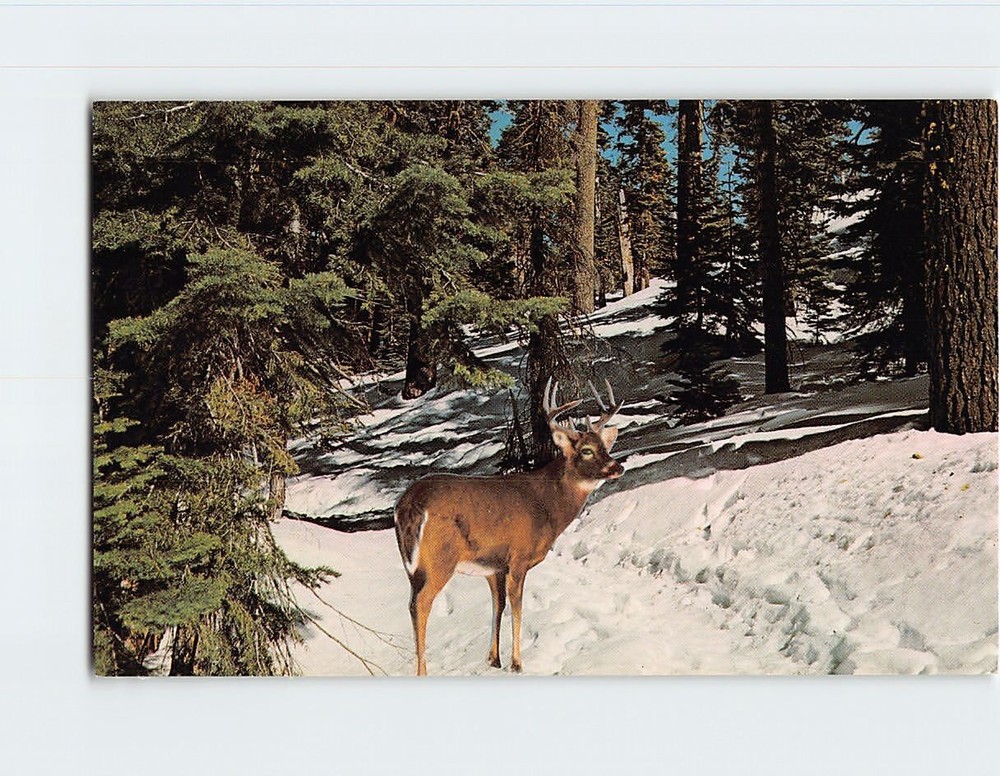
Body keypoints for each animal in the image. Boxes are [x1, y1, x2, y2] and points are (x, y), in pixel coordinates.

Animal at [393, 378, 624, 675]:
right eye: (586, 451)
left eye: (606, 448)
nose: (617, 466)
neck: (548, 506)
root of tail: (409, 504)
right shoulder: (519, 557)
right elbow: (517, 608)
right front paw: (517, 663)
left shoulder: (494, 566)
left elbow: (498, 606)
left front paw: (494, 659)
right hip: (440, 559)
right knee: (421, 604)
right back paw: (422, 671)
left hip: (412, 567)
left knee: (411, 604)